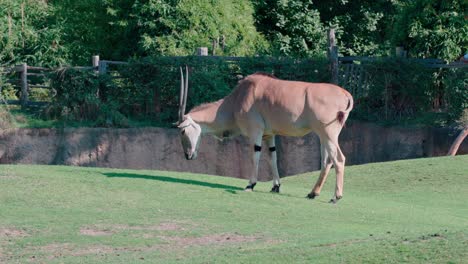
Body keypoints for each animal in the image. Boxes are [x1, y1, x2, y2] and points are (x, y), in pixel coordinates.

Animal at [176, 67, 352, 203]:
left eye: (183, 131)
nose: (187, 155)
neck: (237, 98)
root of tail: (345, 94)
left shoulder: (256, 131)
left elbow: (256, 156)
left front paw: (250, 185)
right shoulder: (269, 135)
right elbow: (272, 157)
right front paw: (276, 186)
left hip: (328, 134)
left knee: (339, 159)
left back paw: (335, 197)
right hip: (323, 135)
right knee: (327, 161)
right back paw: (312, 193)